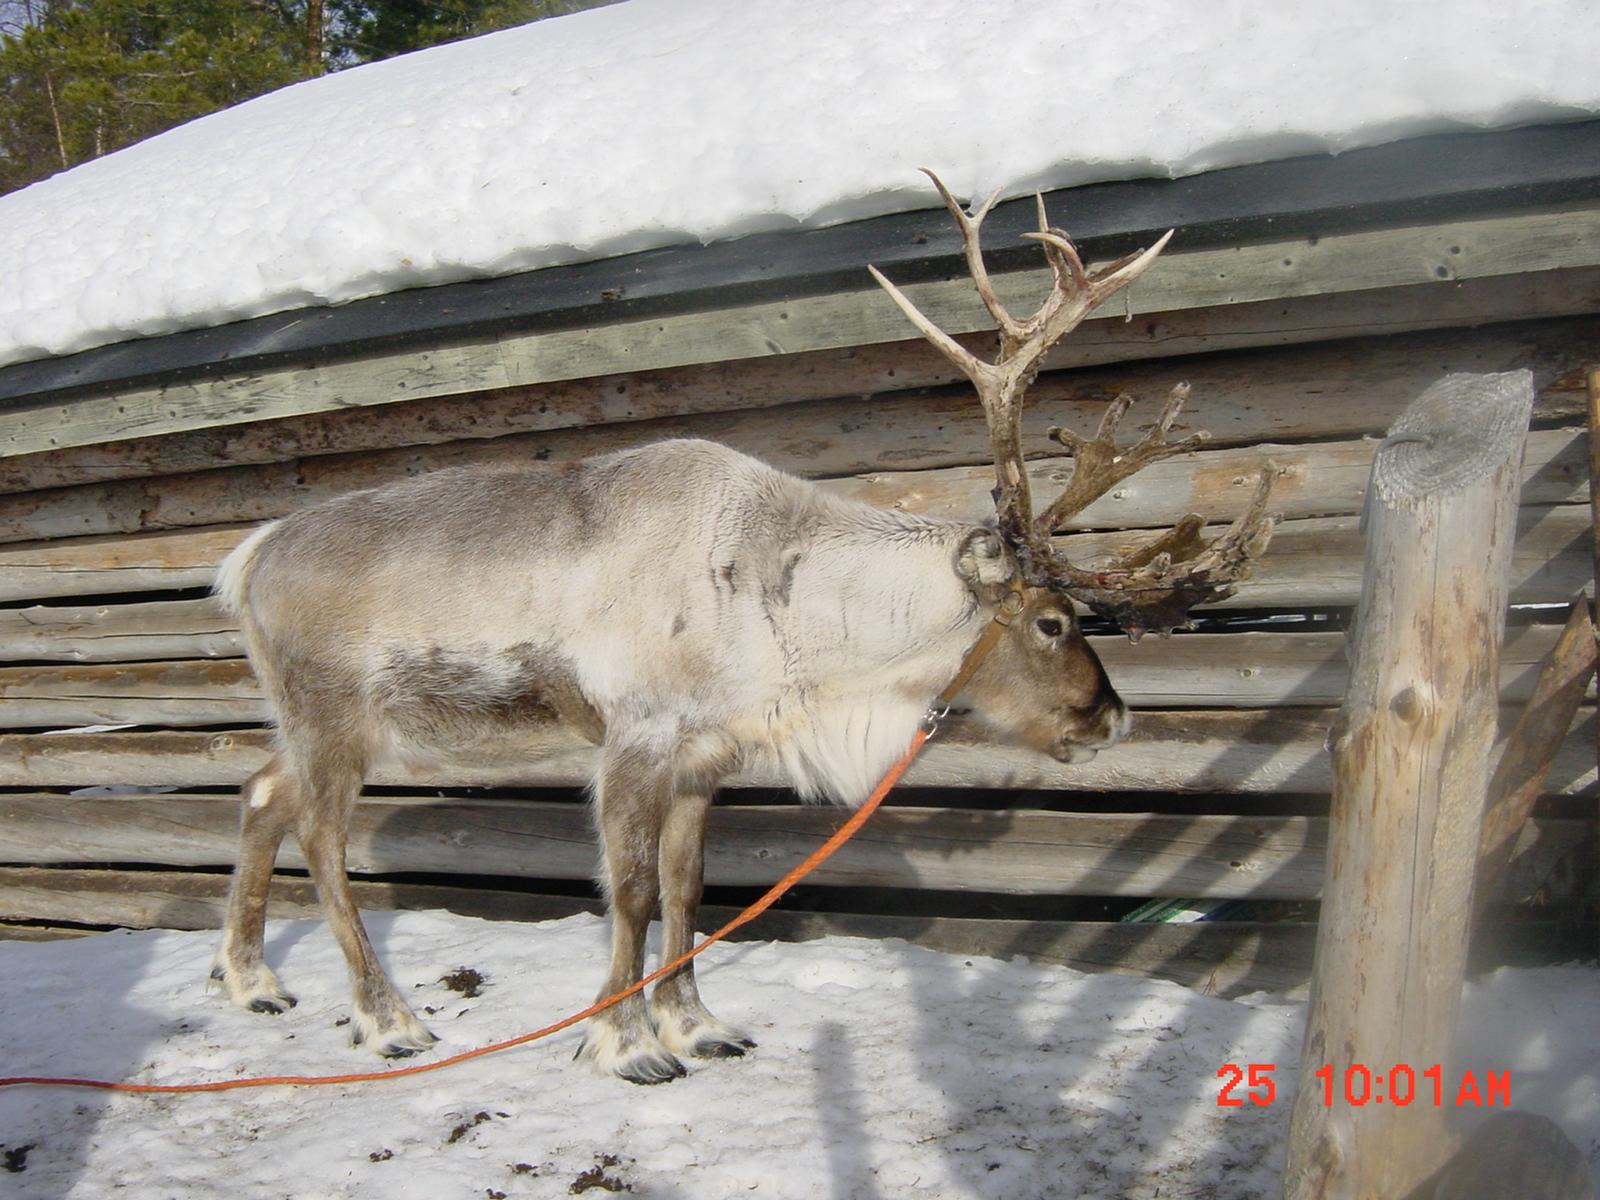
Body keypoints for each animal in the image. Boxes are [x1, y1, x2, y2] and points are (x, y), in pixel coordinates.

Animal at [209, 170, 1276, 1084]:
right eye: (1054, 621)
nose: (1114, 718)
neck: (788, 614)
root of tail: (249, 555)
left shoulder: (705, 754)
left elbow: (689, 887)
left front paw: (697, 1026)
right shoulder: (635, 739)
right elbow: (632, 890)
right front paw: (624, 1044)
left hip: (317, 724)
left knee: (259, 791)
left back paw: (254, 982)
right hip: (336, 718)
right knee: (318, 834)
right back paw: (387, 1019)